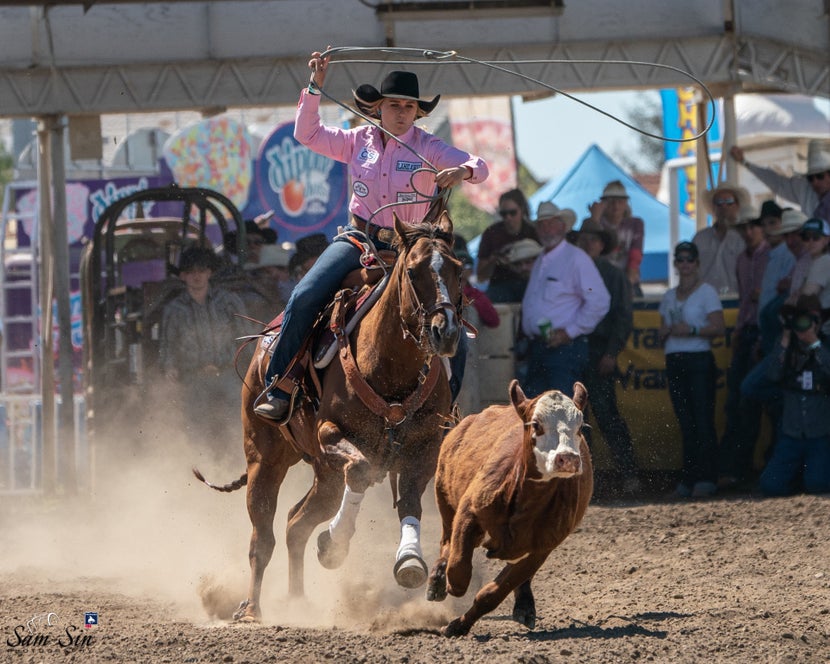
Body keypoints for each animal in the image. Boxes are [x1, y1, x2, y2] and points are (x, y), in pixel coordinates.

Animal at [198, 213, 464, 624]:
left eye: (457, 269)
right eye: (413, 270)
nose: (445, 331)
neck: (390, 365)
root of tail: (262, 344)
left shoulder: (426, 447)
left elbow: (409, 502)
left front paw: (408, 561)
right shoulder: (331, 433)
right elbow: (361, 469)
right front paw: (333, 546)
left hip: (325, 477)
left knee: (295, 524)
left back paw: (297, 602)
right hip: (265, 458)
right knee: (263, 537)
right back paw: (252, 609)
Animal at [428, 378, 592, 632]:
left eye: (580, 426)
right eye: (536, 424)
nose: (568, 458)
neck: (526, 501)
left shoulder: (541, 549)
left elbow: (492, 594)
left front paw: (459, 626)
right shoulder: (468, 511)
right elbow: (458, 567)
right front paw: (450, 586)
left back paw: (525, 606)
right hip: (444, 499)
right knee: (446, 542)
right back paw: (437, 580)